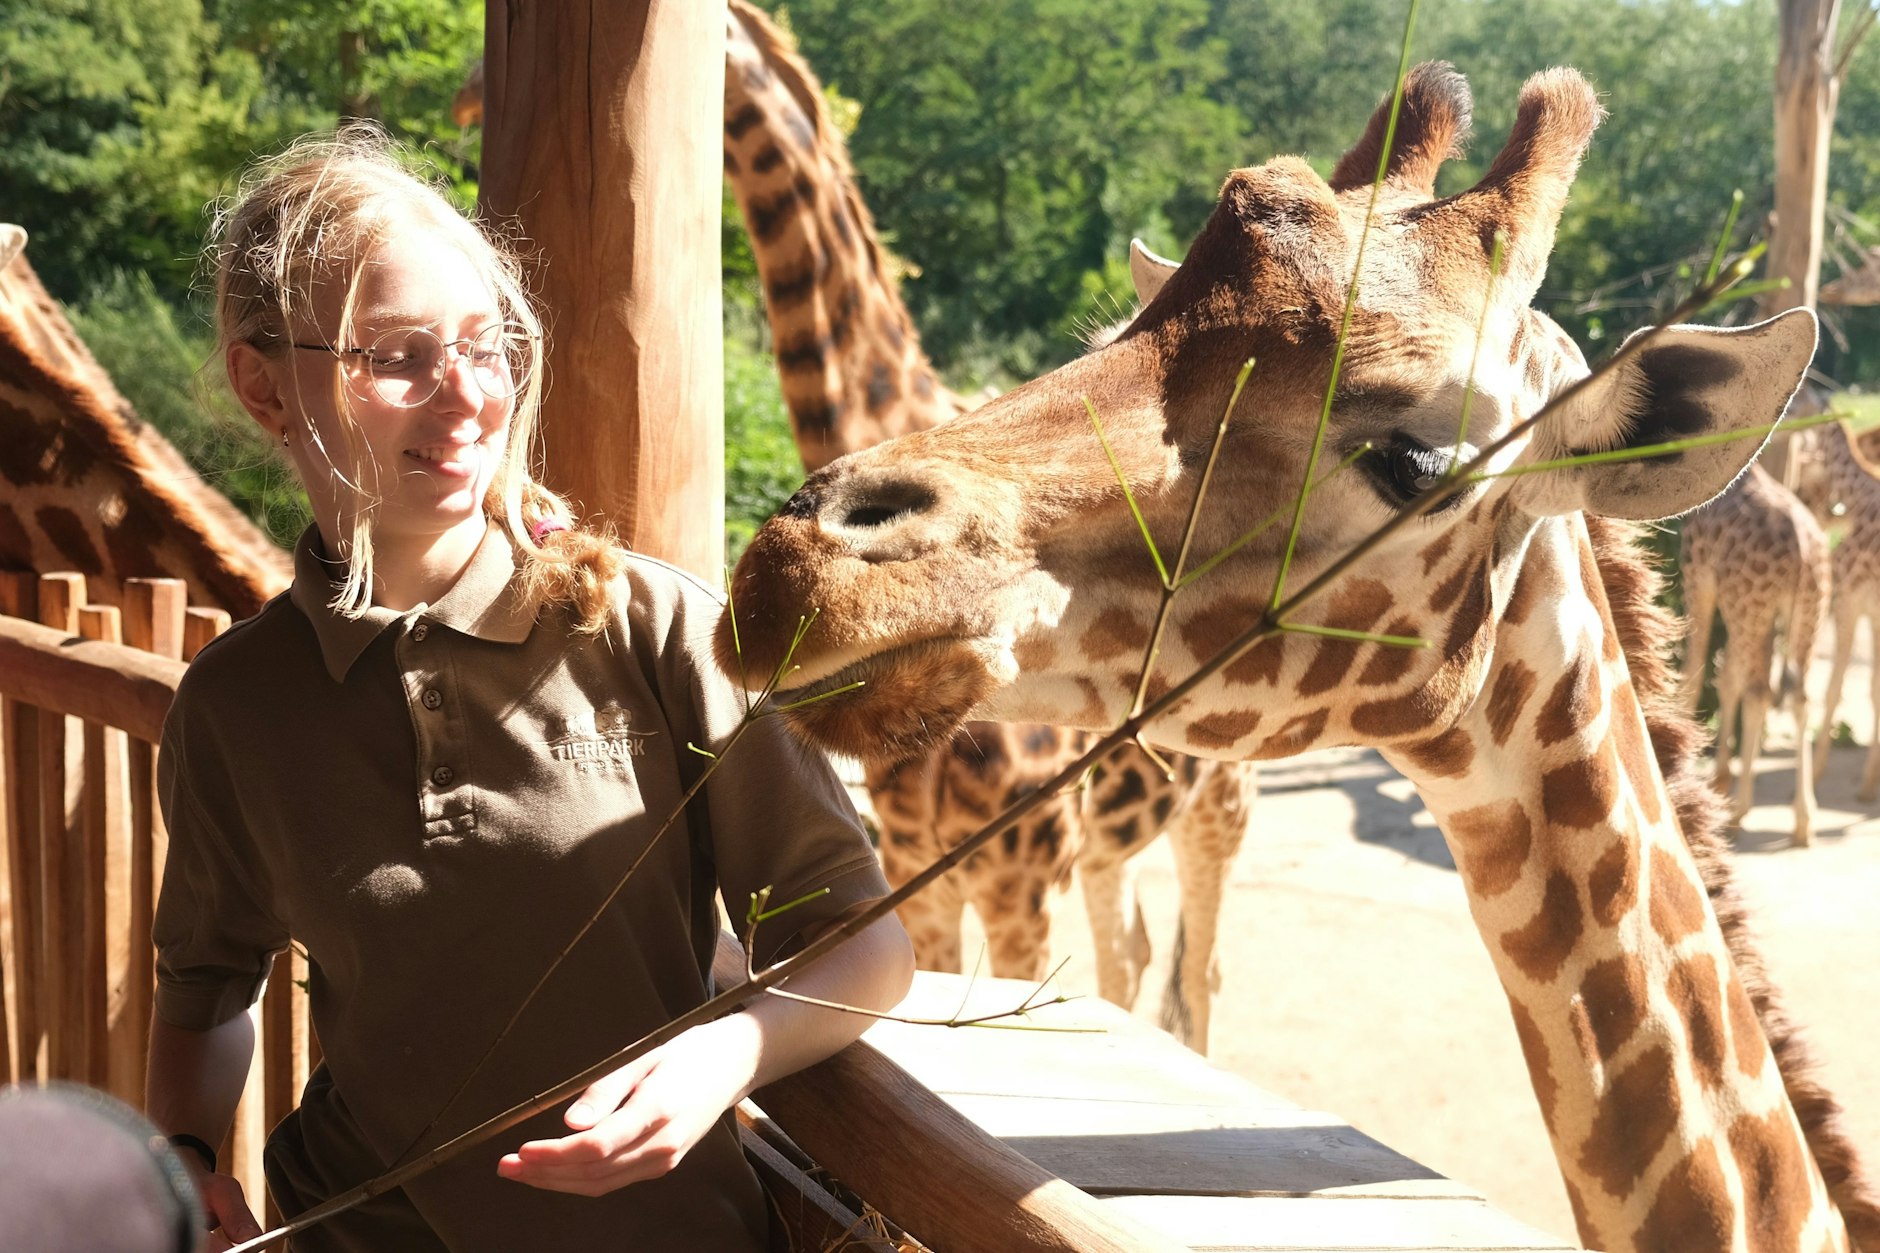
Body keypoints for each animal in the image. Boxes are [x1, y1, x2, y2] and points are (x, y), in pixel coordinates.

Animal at [1677, 462, 1829, 844]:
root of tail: (1803, 551)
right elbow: (1727, 679)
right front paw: (1719, 780)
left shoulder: (1699, 578)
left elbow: (1695, 675)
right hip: (1808, 611)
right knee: (1800, 697)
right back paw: (1803, 820)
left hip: (1750, 608)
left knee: (1759, 691)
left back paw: (1741, 810)